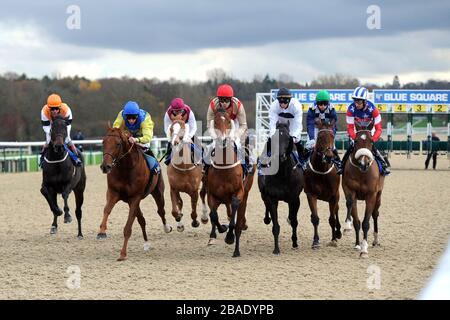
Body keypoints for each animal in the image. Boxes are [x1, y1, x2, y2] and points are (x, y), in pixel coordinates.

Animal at [98, 125, 172, 260]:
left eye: (117, 144)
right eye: (103, 142)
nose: (105, 166)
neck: (126, 169)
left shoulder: (135, 198)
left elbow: (128, 227)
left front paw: (122, 254)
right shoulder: (113, 193)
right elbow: (106, 210)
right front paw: (102, 231)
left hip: (157, 192)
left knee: (161, 211)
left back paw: (167, 228)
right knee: (141, 219)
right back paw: (146, 243)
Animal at [207, 107, 246, 258]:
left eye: (229, 121)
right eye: (216, 122)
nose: (223, 141)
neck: (224, 168)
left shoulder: (239, 192)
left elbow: (234, 208)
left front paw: (230, 237)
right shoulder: (211, 194)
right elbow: (213, 215)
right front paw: (221, 229)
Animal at [258, 120, 304, 255]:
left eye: (288, 138)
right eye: (273, 138)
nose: (280, 155)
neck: (283, 174)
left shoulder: (294, 198)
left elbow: (294, 221)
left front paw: (295, 242)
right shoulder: (272, 198)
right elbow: (276, 225)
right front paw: (276, 249)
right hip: (263, 193)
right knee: (266, 206)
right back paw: (266, 218)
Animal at [304, 119, 342, 249]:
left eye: (332, 136)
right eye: (320, 137)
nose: (329, 156)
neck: (322, 171)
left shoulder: (334, 196)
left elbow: (332, 219)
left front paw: (334, 239)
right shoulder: (311, 194)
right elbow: (315, 218)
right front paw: (315, 241)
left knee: (336, 210)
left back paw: (338, 232)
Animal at [342, 121, 384, 258]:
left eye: (372, 141)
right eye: (355, 140)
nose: (363, 163)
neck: (362, 173)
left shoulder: (371, 195)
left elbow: (366, 222)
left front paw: (364, 249)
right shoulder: (349, 190)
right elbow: (354, 216)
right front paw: (347, 226)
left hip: (379, 195)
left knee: (375, 214)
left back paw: (375, 240)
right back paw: (357, 243)